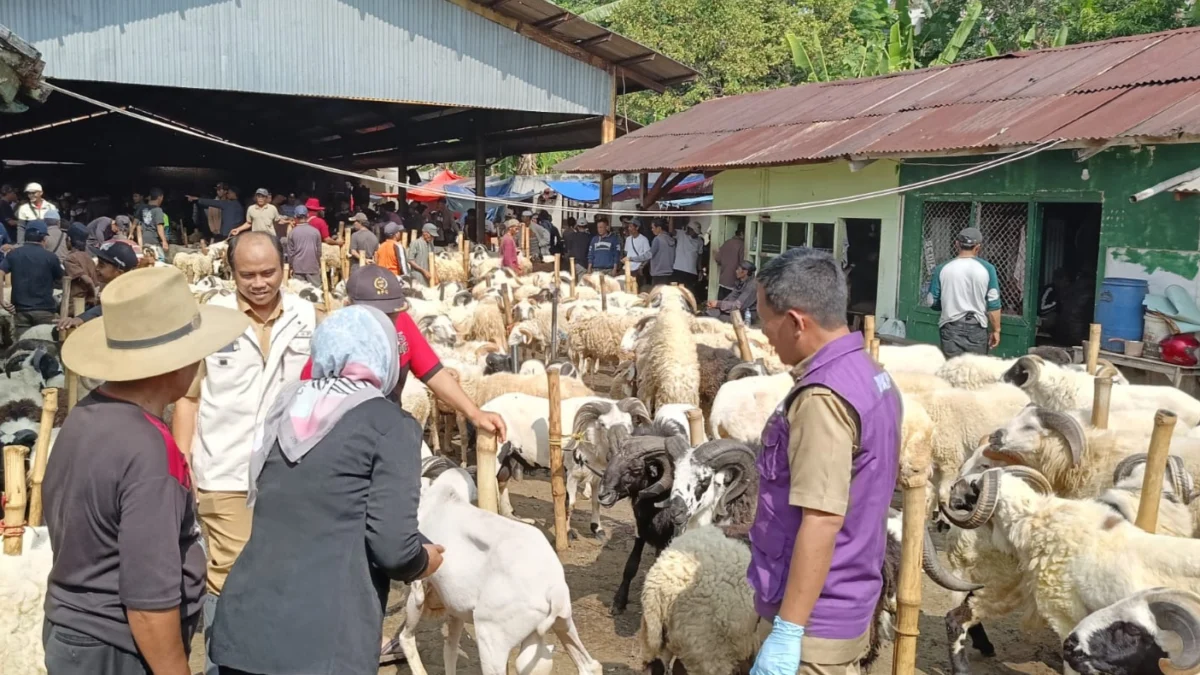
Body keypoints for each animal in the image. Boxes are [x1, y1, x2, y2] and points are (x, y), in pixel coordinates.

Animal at [391, 466, 600, 672]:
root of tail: (553, 590)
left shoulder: (420, 586)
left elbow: (410, 636)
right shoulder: (455, 606)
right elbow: (450, 649)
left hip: (490, 639)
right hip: (563, 622)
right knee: (590, 665)